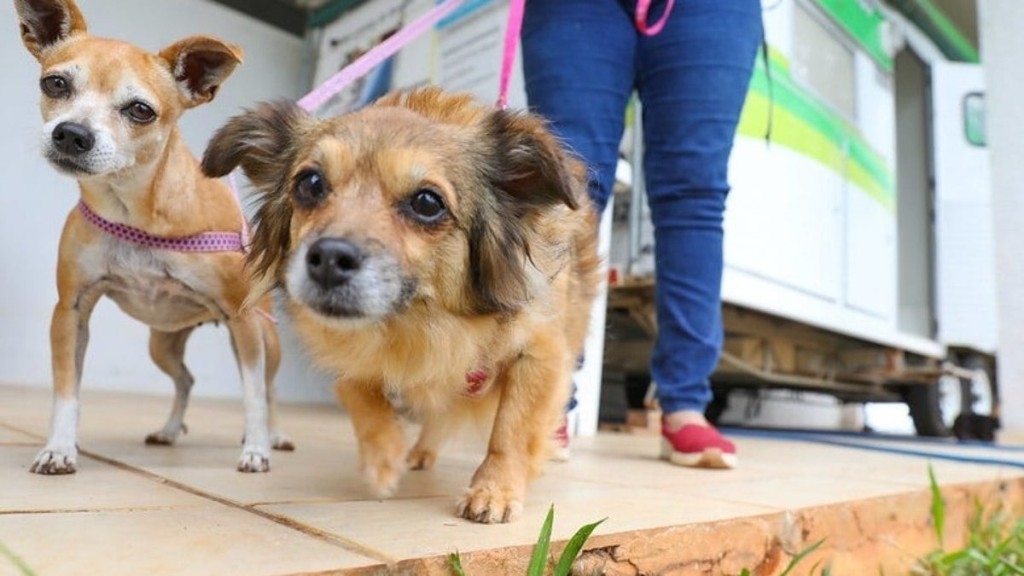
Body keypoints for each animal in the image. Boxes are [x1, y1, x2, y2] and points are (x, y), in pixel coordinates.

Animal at [18, 0, 294, 471]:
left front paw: (256, 449)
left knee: (270, 387)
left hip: (264, 337)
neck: (135, 213)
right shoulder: (71, 311)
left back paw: (272, 436)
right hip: (163, 345)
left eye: (140, 110)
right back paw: (169, 430)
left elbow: (254, 395)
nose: (72, 134)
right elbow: (67, 390)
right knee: (185, 380)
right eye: (55, 83)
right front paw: (59, 447)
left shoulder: (244, 323)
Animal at [201, 88, 598, 520]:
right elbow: (361, 394)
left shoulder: (541, 355)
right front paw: (383, 458)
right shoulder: (347, 350)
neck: (418, 322)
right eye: (310, 184)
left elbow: (510, 430)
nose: (328, 258)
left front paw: (493, 491)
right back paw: (417, 452)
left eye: (427, 202)